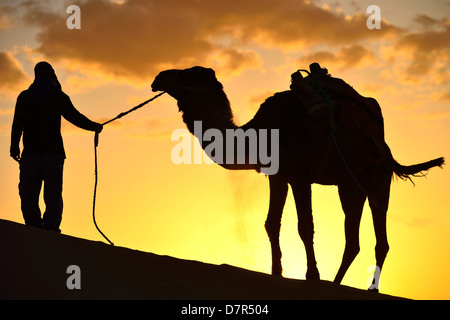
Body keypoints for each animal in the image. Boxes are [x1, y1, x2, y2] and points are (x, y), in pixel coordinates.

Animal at [150, 66, 442, 292]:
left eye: (190, 73)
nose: (159, 77)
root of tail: (385, 146)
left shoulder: (300, 177)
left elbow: (305, 226)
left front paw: (312, 275)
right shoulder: (278, 176)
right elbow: (271, 223)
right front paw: (276, 272)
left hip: (378, 179)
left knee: (381, 238)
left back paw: (370, 288)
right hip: (349, 186)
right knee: (352, 240)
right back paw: (335, 283)